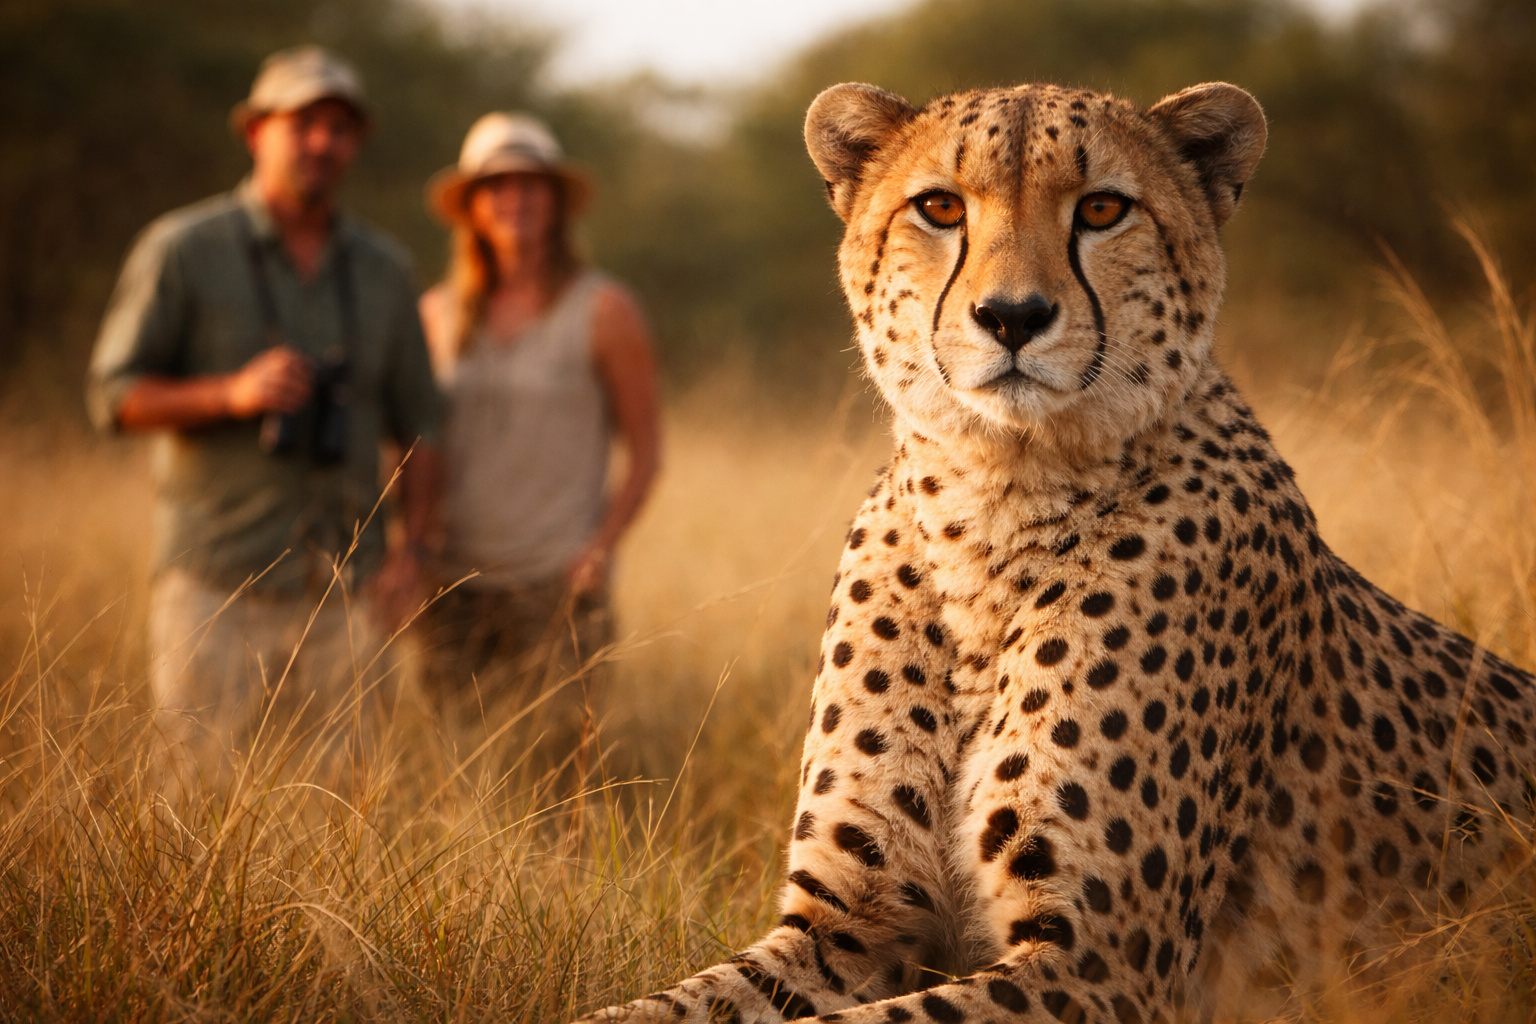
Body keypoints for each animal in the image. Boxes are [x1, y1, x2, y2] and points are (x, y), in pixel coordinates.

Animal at [573, 79, 1536, 1024]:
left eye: (1102, 208)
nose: (1013, 317)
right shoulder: (848, 924)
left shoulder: (1096, 965)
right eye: (939, 207)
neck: (992, 502)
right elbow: (663, 1006)